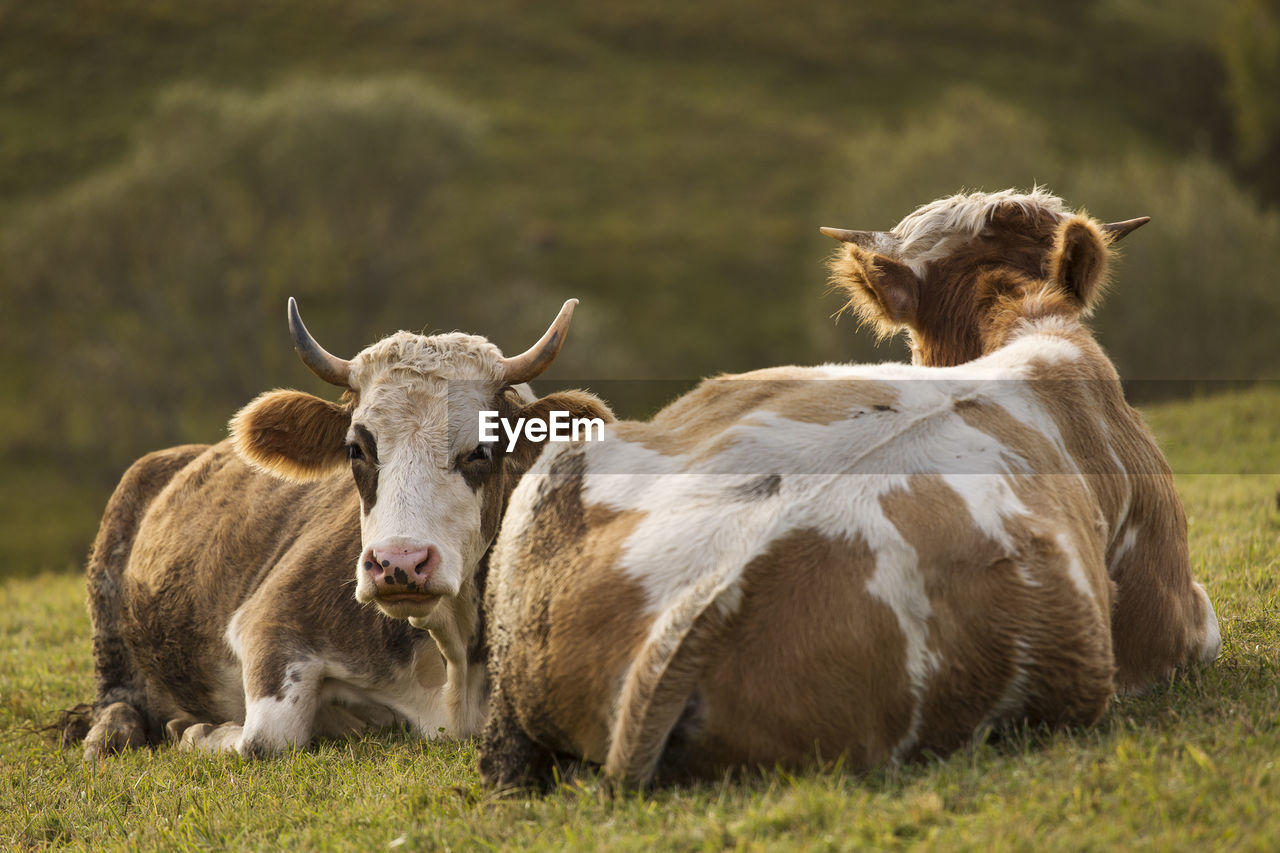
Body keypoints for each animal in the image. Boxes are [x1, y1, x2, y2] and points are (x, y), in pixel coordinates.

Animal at [73, 295, 614, 753]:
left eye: (481, 450)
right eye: (357, 449)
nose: (398, 563)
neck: (455, 658)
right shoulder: (269, 622)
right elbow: (264, 739)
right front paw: (198, 731)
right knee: (116, 701)